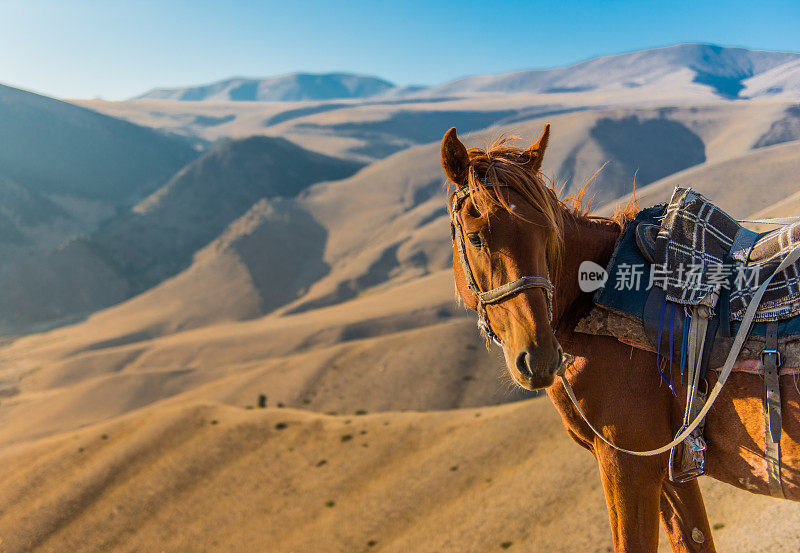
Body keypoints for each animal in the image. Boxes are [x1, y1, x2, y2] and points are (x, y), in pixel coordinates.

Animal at [440, 126, 800, 552]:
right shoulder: (671, 472)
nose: (539, 358)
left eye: (547, 234)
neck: (588, 299)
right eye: (475, 238)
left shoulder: (628, 462)